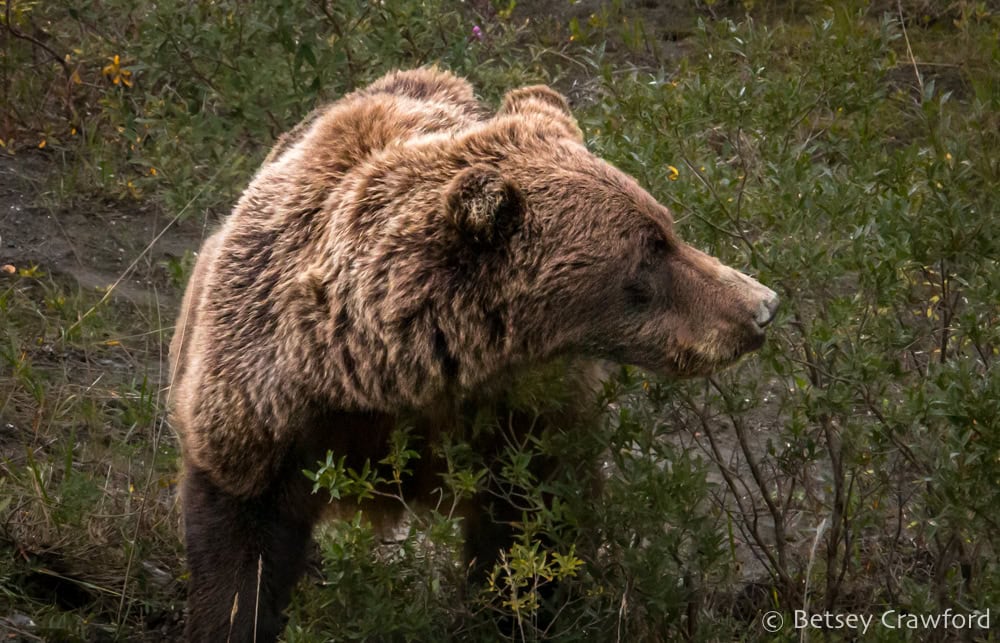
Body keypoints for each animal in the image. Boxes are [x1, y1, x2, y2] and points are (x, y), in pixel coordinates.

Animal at [170, 68, 780, 640]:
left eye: (667, 228)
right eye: (649, 252)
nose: (761, 307)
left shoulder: (525, 416)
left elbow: (528, 534)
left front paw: (523, 614)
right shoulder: (265, 412)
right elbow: (238, 559)